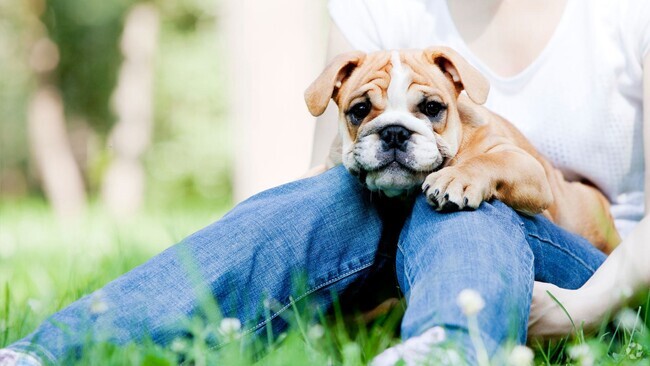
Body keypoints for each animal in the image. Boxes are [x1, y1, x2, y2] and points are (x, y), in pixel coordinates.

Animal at [304, 48, 616, 254]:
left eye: (432, 107)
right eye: (360, 110)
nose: (394, 132)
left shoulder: (527, 167)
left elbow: (490, 160)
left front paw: (456, 178)